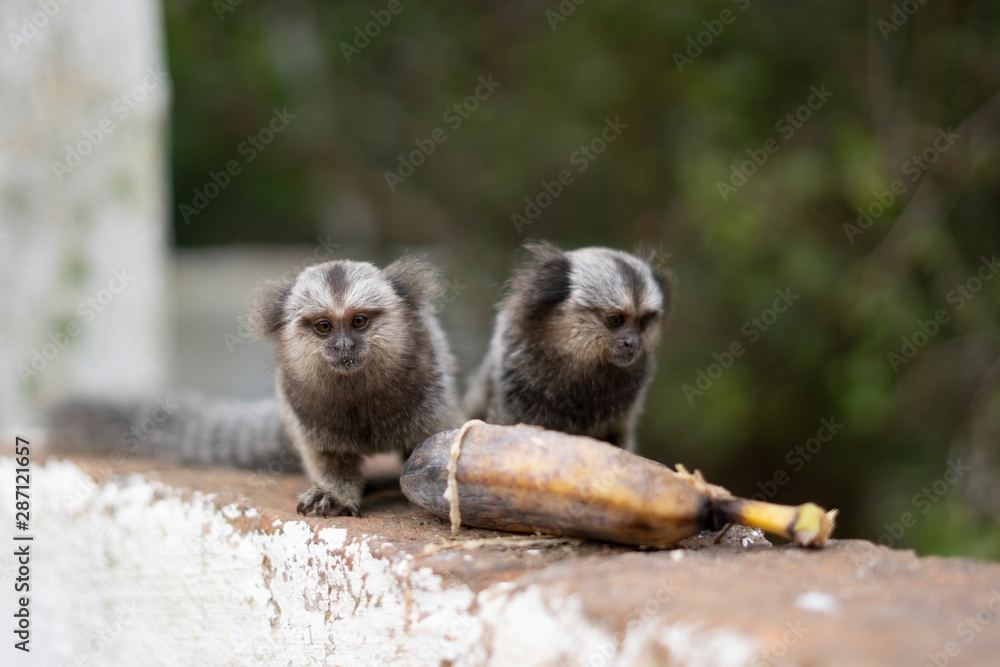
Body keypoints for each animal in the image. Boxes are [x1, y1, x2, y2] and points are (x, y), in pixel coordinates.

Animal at [47, 255, 464, 517]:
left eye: (359, 321)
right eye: (324, 327)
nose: (344, 347)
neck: (356, 394)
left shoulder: (430, 391)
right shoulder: (304, 411)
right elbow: (326, 458)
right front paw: (334, 493)